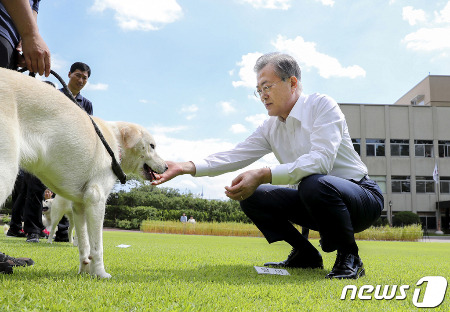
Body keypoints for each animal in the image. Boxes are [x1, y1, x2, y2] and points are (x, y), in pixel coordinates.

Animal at [0, 68, 167, 278]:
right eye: (152, 146)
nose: (167, 167)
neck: (115, 143)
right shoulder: (96, 200)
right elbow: (97, 246)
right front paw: (100, 273)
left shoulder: (80, 205)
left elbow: (84, 244)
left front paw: (85, 270)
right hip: (7, 174)